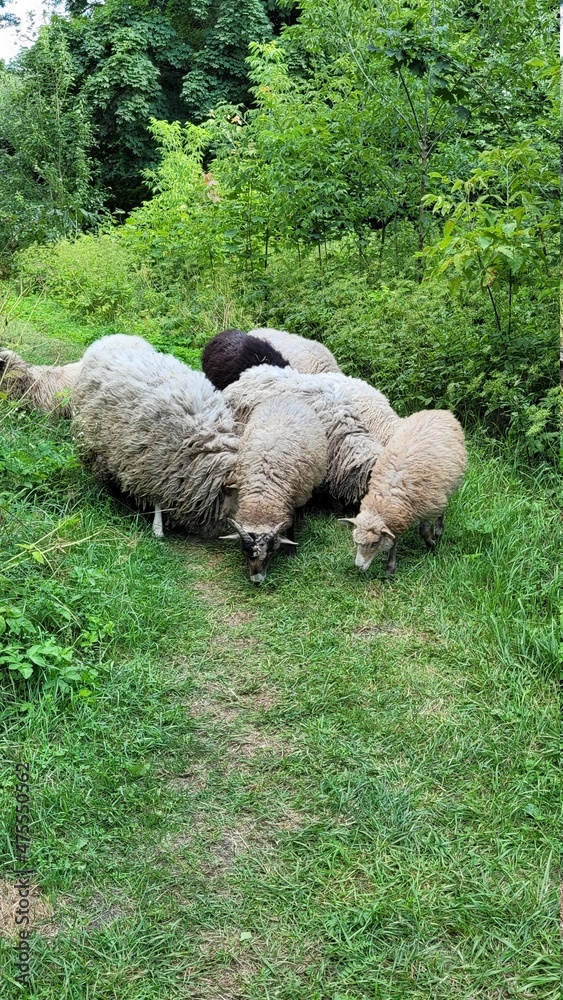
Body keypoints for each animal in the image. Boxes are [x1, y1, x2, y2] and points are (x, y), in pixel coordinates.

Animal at [220, 395, 328, 583]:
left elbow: (290, 525)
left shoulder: (293, 498)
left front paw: (292, 552)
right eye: (245, 552)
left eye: (270, 553)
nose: (257, 581)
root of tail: (287, 396)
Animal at [339, 409, 467, 575]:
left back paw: (439, 530)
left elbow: (423, 532)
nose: (359, 567)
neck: (387, 496)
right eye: (356, 541)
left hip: (445, 489)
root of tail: (441, 411)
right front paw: (390, 565)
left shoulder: (428, 509)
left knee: (443, 509)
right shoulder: (395, 519)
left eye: (374, 543)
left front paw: (432, 546)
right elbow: (393, 540)